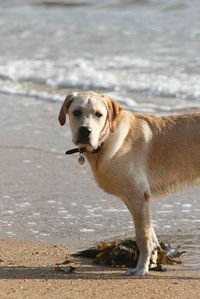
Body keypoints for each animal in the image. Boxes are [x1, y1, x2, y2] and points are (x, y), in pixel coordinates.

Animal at [58, 91, 200, 276]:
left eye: (98, 114)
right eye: (76, 112)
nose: (85, 130)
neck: (107, 140)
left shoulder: (138, 197)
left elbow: (143, 237)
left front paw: (141, 268)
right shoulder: (135, 199)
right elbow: (152, 235)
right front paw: (153, 263)